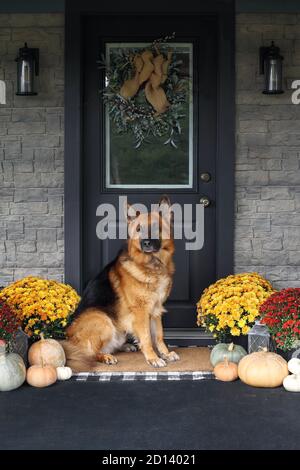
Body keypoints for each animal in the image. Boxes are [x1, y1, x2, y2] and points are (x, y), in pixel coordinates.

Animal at [61, 196, 178, 370]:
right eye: (139, 229)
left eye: (155, 227)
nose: (146, 243)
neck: (152, 266)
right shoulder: (141, 312)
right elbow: (147, 338)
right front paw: (153, 358)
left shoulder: (156, 310)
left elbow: (159, 336)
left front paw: (165, 353)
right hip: (102, 319)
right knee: (89, 354)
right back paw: (105, 357)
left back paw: (125, 346)